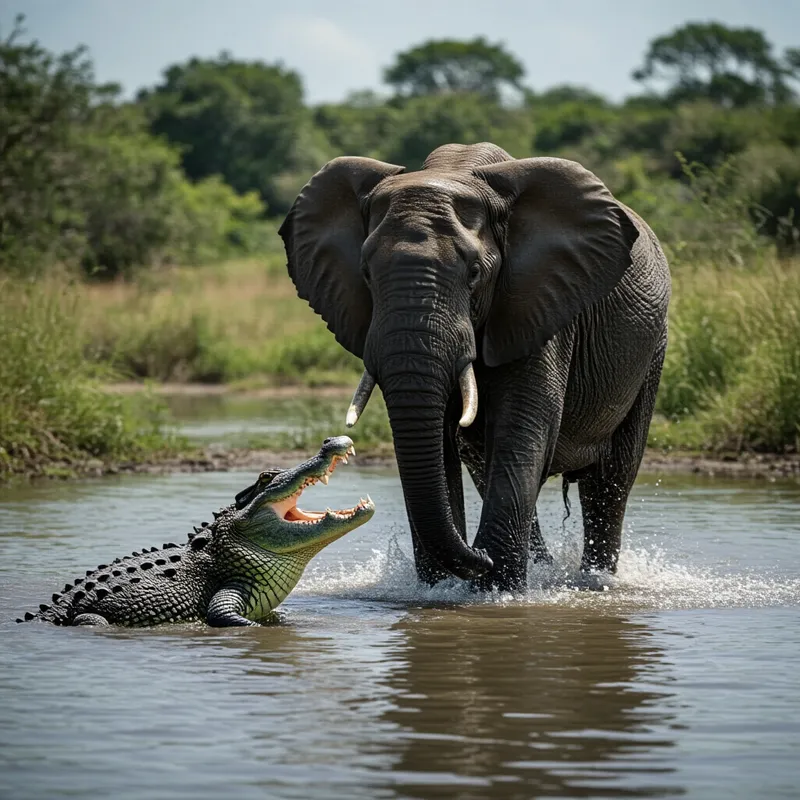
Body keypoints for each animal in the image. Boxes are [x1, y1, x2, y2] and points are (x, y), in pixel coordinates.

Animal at [280, 142, 670, 591]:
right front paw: (440, 588)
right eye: (365, 273)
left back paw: (592, 579)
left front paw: (496, 591)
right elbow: (442, 444)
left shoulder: (541, 301)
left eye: (475, 274)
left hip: (652, 349)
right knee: (487, 466)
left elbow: (524, 425)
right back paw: (543, 568)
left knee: (611, 479)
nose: (477, 557)